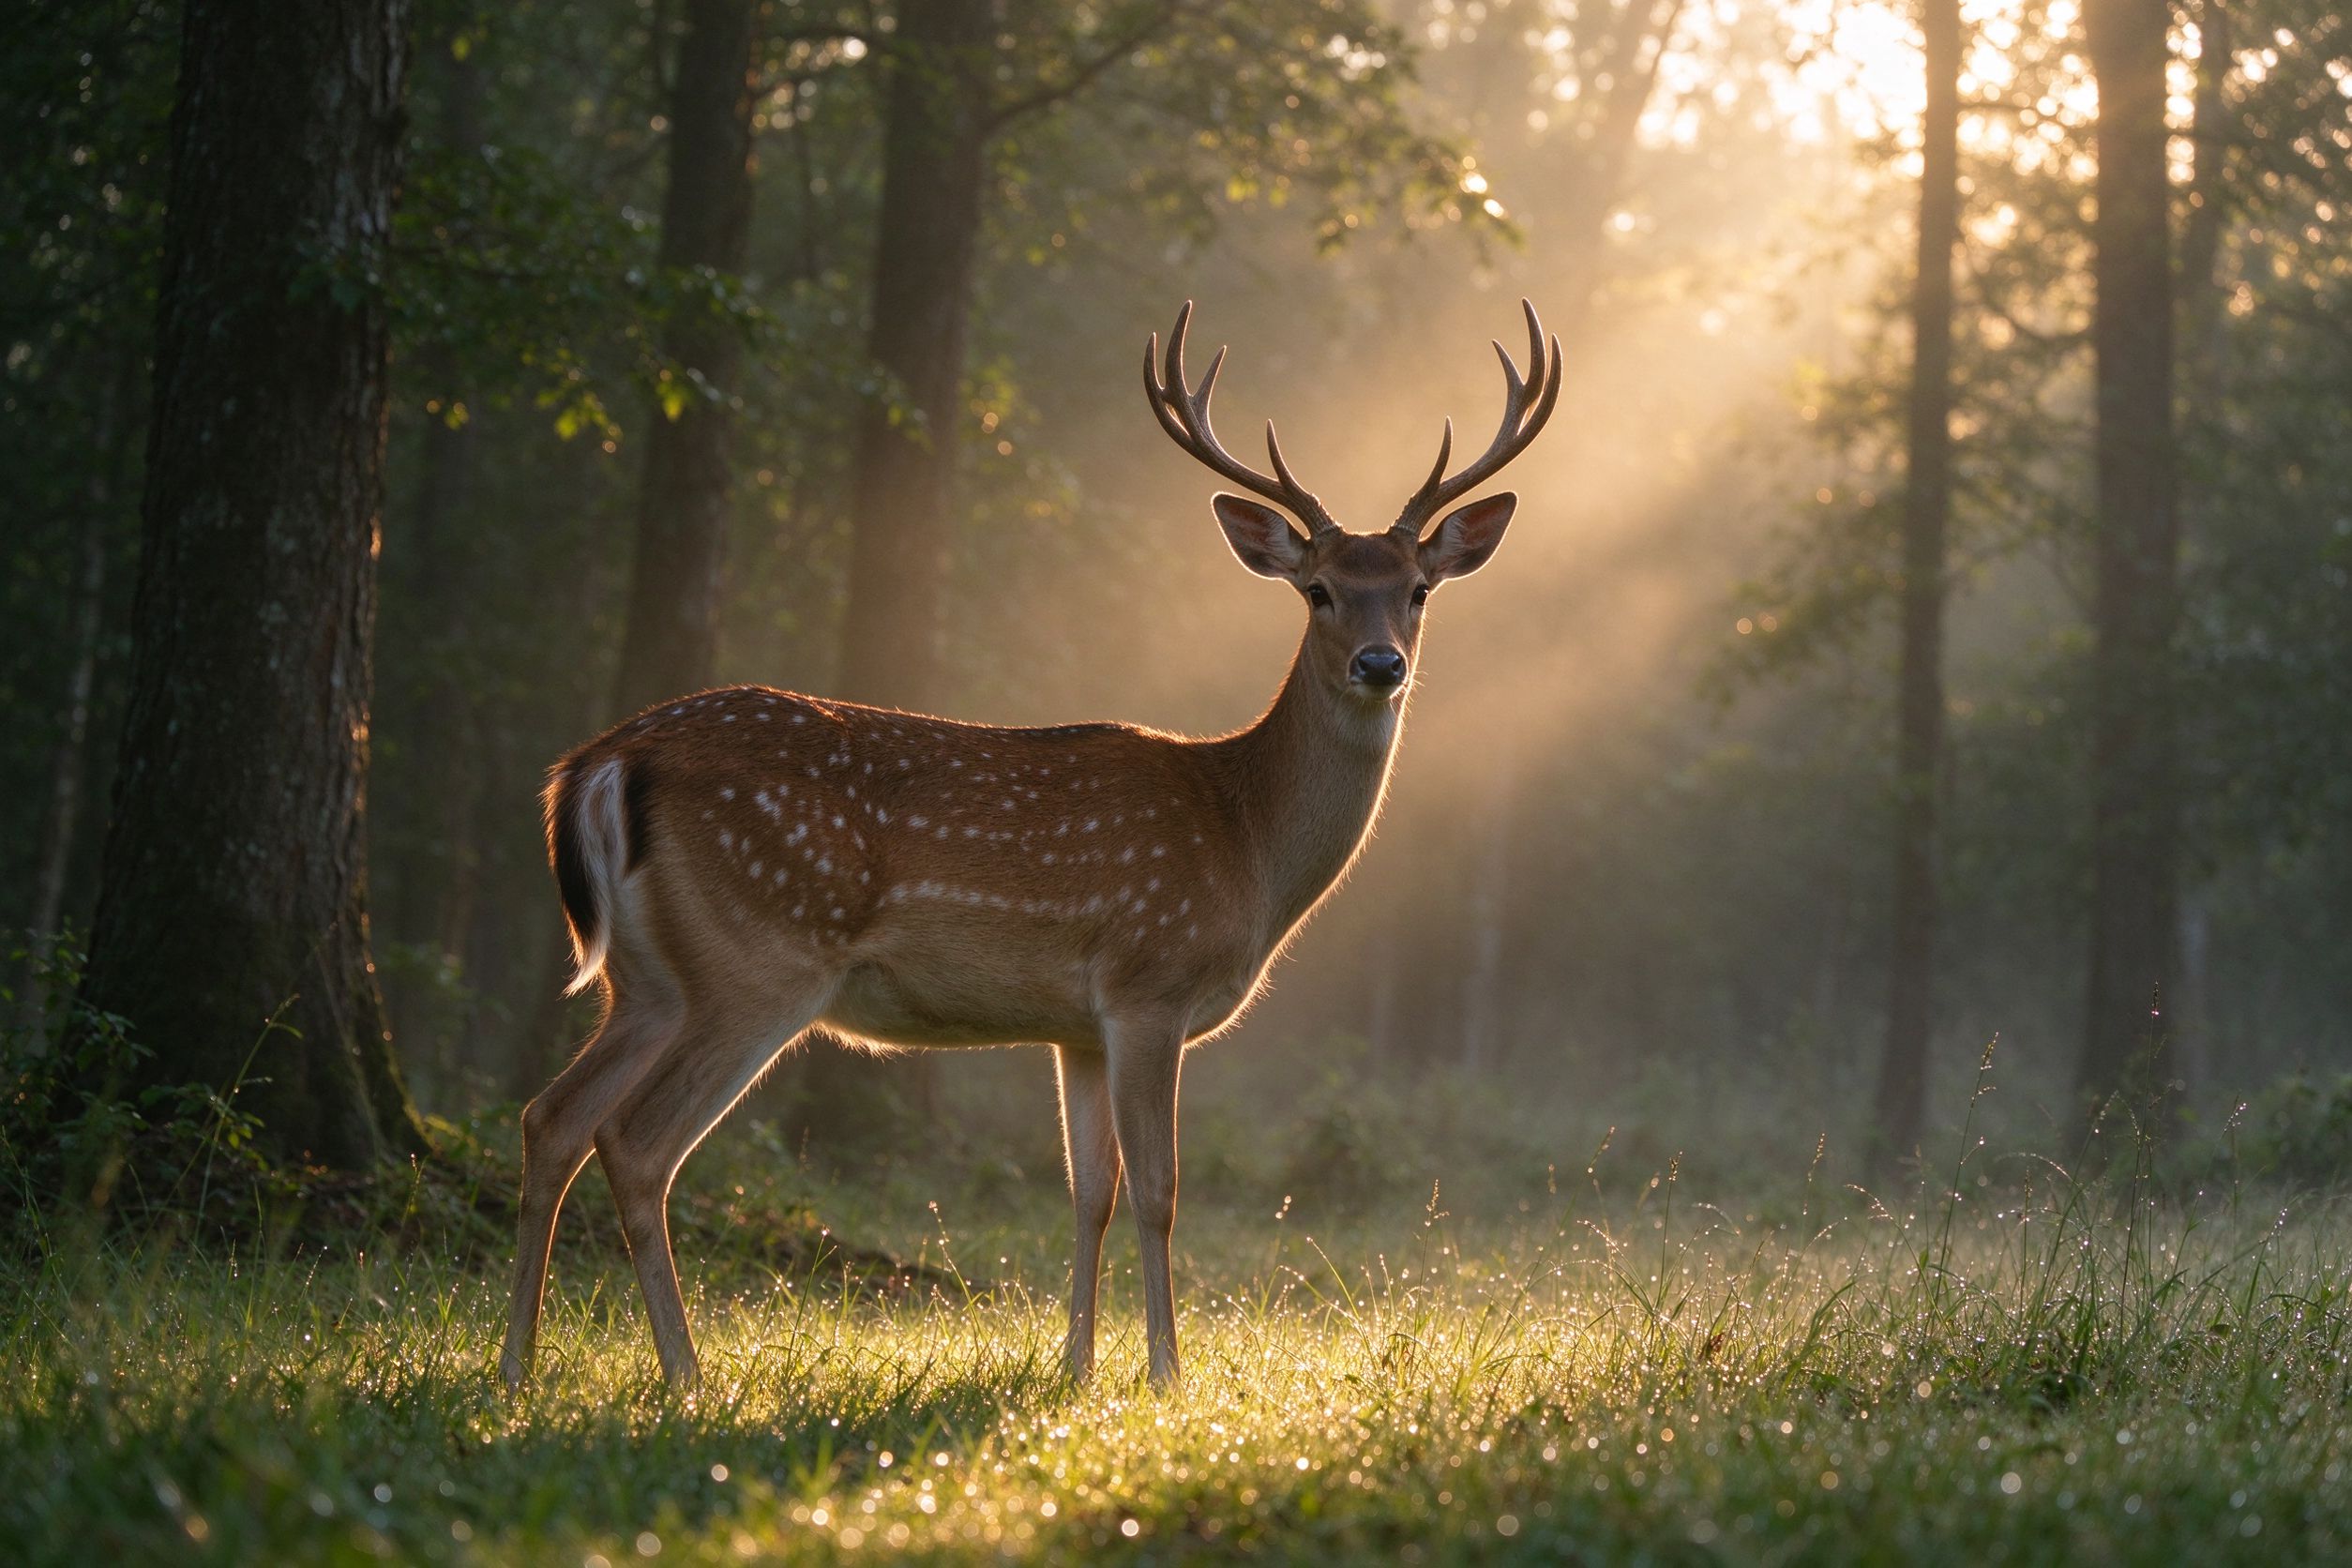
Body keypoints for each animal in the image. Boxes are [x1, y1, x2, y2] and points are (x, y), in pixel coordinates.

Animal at [500, 299, 1560, 1392]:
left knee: (552, 1116)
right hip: (757, 960)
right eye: (1317, 590)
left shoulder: (1074, 1028)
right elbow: (1158, 1190)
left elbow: (1089, 1190)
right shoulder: (1147, 985)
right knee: (636, 1142)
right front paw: (1166, 1372)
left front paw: (1076, 1367)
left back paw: (517, 1368)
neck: (1245, 839)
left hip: (648, 978)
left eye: (1420, 589)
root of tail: (600, 762)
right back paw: (684, 1374)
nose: (1381, 664)